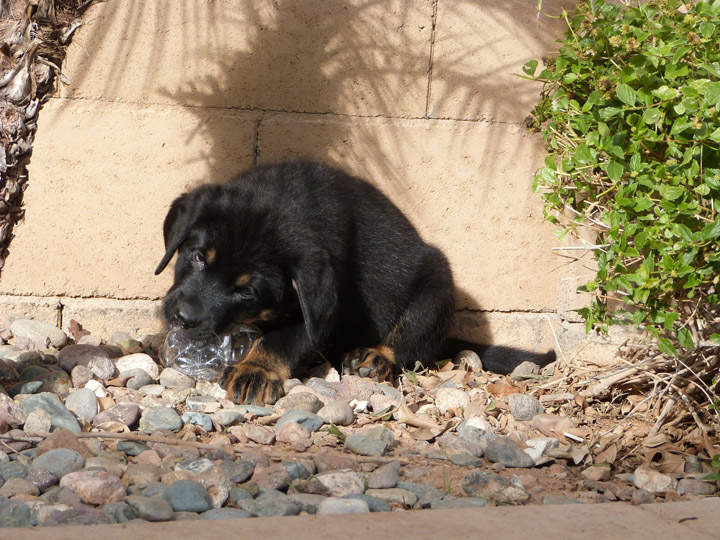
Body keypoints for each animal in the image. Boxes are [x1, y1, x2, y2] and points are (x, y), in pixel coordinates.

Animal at [155, 161, 556, 404]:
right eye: (197, 257)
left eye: (247, 291)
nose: (182, 319)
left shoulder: (325, 309)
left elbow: (284, 338)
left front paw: (257, 369)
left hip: (437, 284)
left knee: (414, 342)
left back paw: (376, 356)